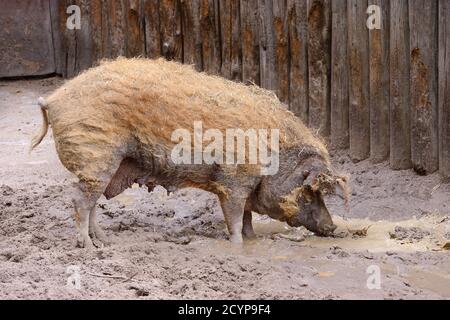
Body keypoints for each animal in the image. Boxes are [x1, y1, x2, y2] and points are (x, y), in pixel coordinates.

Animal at [30, 57, 348, 248]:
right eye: (308, 191)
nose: (332, 226)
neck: (273, 155)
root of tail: (52, 100)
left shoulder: (243, 186)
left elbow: (246, 216)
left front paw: (252, 239)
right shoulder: (232, 181)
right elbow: (235, 216)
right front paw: (237, 245)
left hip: (104, 166)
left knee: (92, 201)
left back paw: (105, 240)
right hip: (95, 157)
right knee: (79, 200)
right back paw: (88, 246)